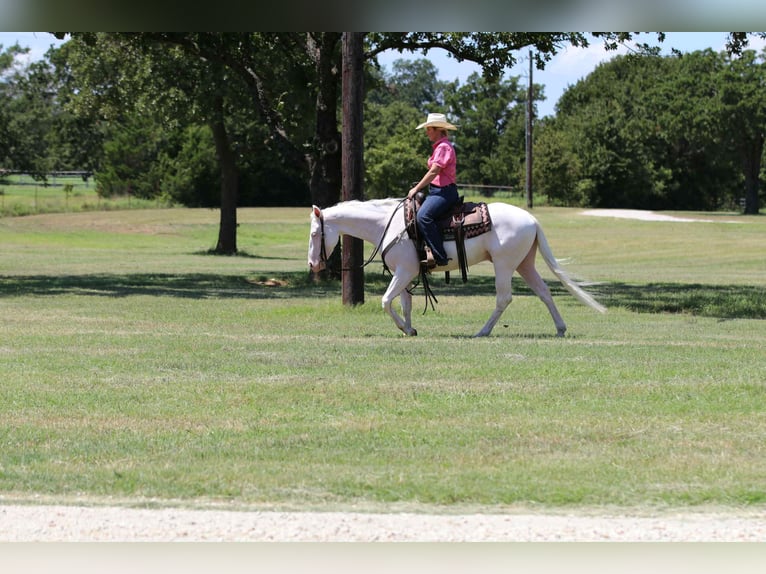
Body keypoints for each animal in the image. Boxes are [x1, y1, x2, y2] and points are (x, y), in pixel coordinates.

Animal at [308, 199, 605, 337]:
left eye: (313, 234)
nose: (313, 264)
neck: (388, 226)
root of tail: (532, 219)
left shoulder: (404, 272)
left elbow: (385, 301)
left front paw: (405, 329)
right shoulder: (405, 274)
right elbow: (404, 304)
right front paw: (410, 330)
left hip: (504, 265)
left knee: (504, 298)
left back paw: (482, 332)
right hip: (524, 264)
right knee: (544, 292)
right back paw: (560, 328)